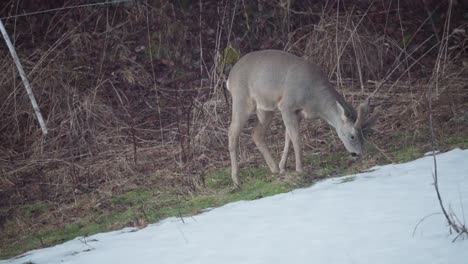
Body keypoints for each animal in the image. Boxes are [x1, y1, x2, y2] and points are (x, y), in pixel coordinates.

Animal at [226, 49, 376, 186]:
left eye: (365, 134)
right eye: (352, 136)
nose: (358, 154)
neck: (315, 101)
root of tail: (229, 78)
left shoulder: (298, 113)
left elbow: (288, 137)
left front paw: (282, 167)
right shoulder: (287, 105)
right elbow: (296, 138)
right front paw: (299, 169)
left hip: (265, 108)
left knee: (256, 133)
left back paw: (274, 169)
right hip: (242, 98)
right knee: (232, 132)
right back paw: (236, 180)